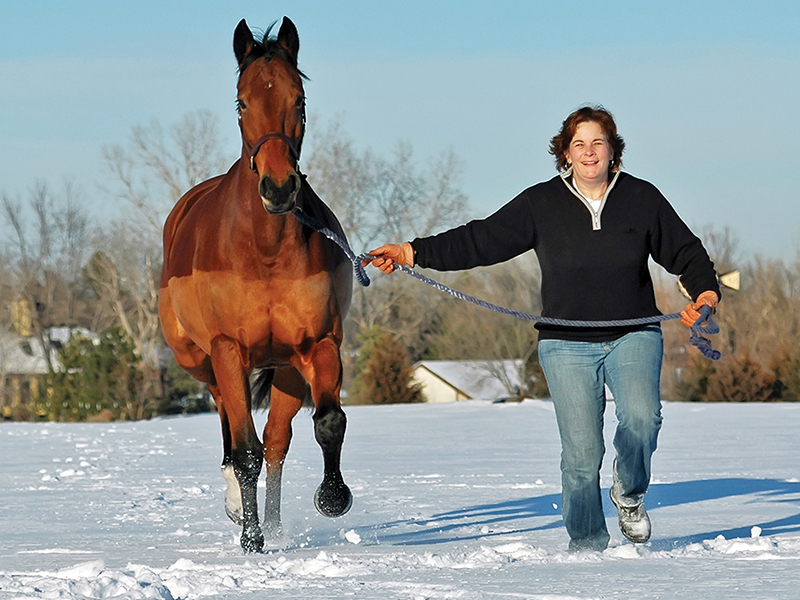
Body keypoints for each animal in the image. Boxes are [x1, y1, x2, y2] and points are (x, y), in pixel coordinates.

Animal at [158, 17, 353, 553]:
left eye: (299, 100)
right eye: (241, 102)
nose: (279, 187)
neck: (265, 252)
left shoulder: (319, 344)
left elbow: (327, 423)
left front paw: (332, 498)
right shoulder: (228, 349)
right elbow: (243, 448)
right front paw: (250, 538)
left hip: (285, 370)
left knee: (276, 441)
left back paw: (277, 521)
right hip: (201, 359)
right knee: (228, 421)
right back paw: (235, 506)